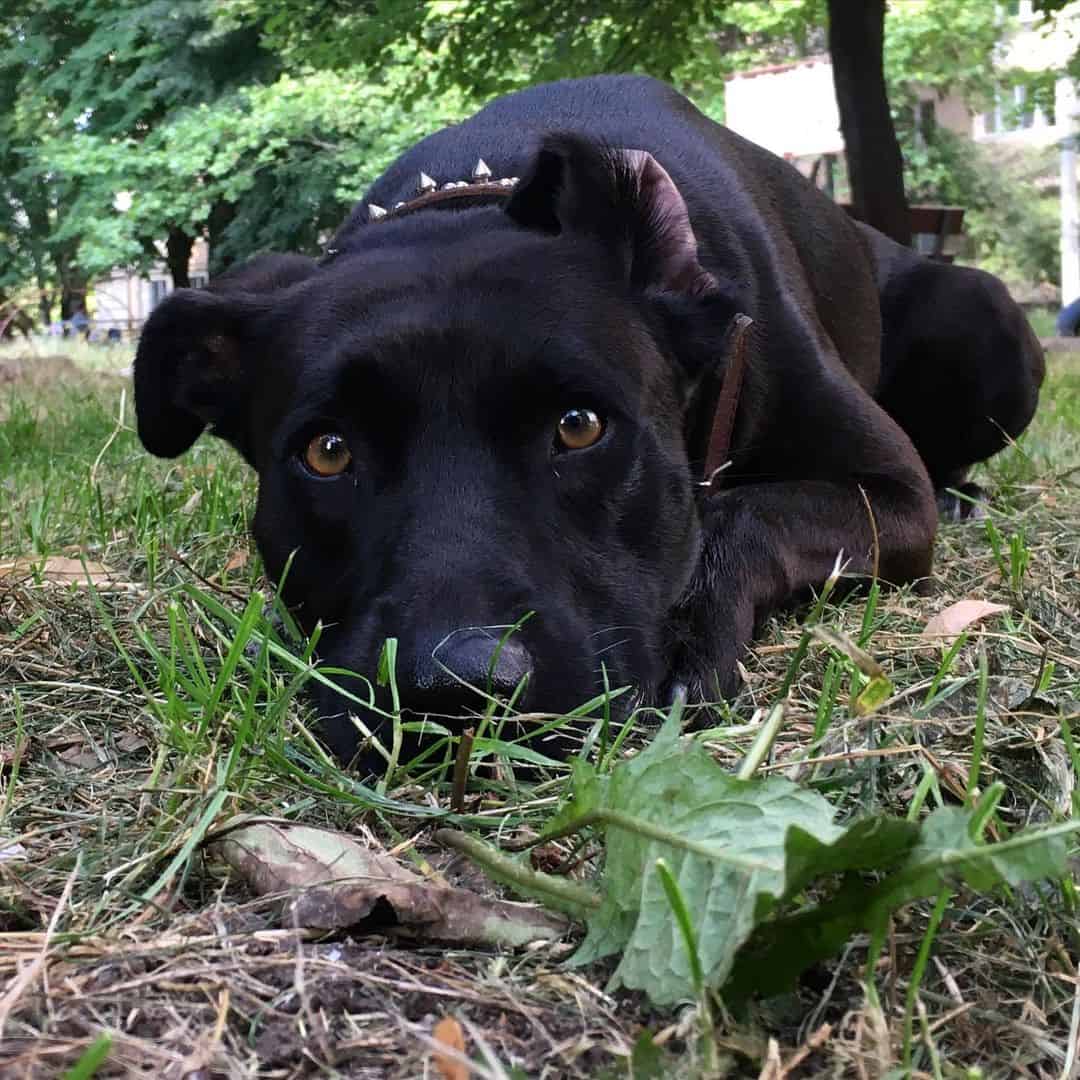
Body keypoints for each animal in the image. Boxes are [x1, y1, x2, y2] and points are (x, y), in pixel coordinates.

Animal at [130, 76, 1041, 764]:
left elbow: (747, 514)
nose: (457, 690)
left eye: (578, 426)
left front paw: (690, 633)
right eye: (326, 452)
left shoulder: (889, 492)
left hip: (982, 315)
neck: (471, 200)